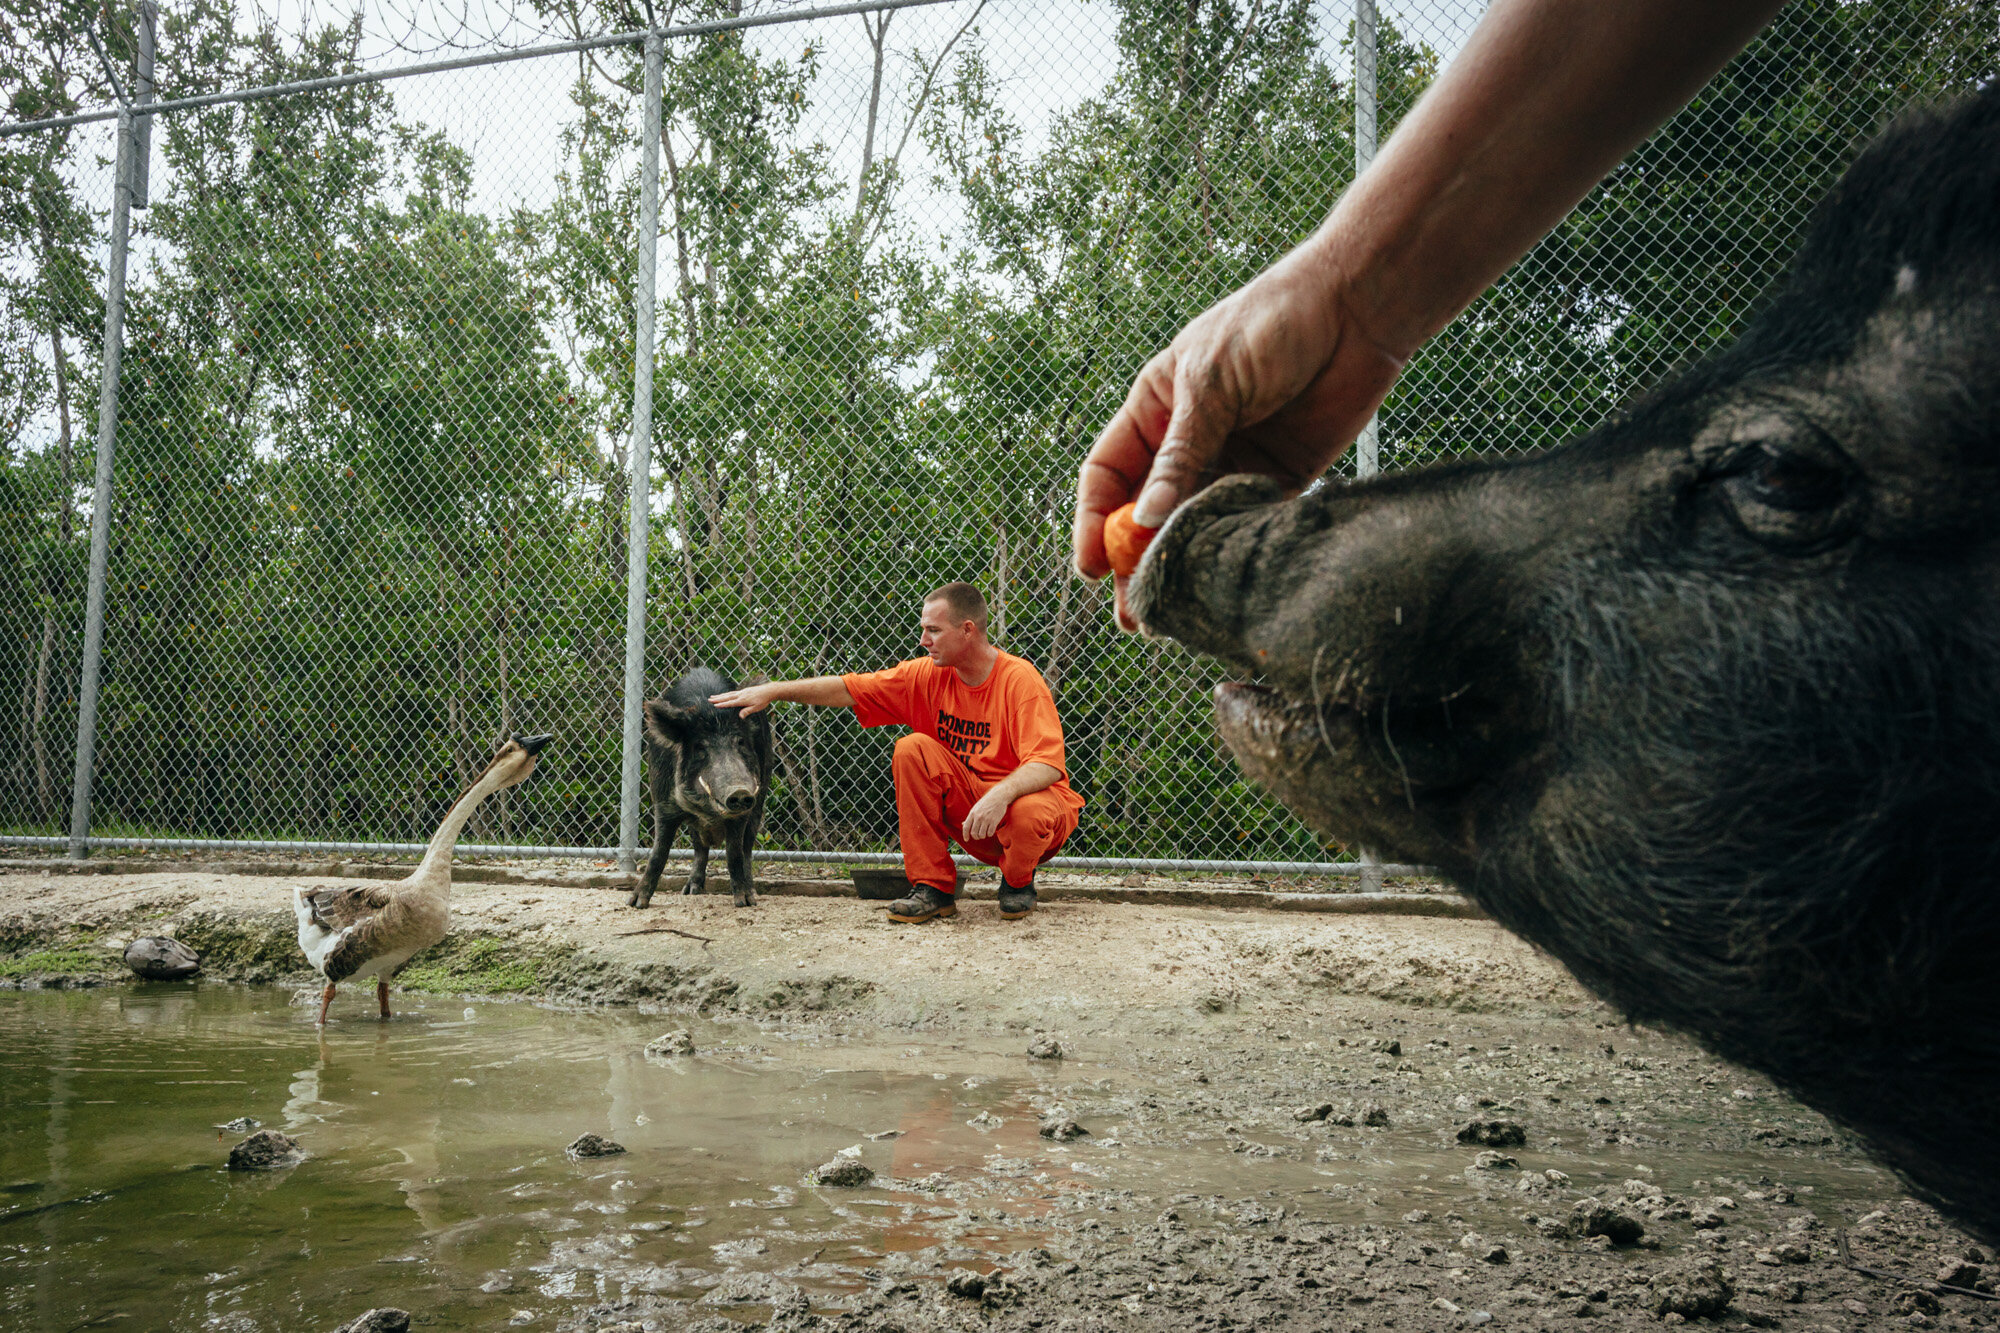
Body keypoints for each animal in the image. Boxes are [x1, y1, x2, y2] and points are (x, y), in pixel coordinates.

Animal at [632, 660, 772, 904]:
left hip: (759, 803)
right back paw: (690, 890)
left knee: (746, 848)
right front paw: (636, 903)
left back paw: (753, 893)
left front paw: (745, 902)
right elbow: (659, 852)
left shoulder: (745, 810)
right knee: (700, 847)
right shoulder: (663, 802)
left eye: (740, 742)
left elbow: (734, 854)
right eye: (700, 747)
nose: (739, 791)